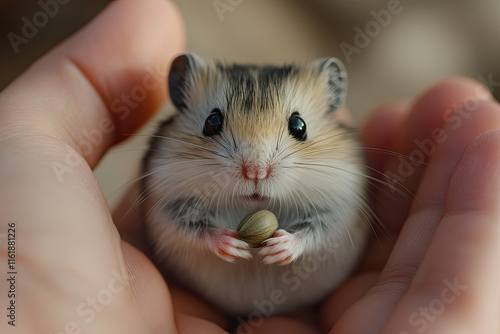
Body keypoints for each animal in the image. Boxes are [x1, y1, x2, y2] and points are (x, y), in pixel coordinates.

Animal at [141, 52, 372, 316]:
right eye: (212, 121)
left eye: (299, 126)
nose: (256, 172)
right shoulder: (169, 206)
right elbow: (194, 228)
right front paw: (233, 245)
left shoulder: (341, 211)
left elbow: (315, 232)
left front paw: (277, 248)